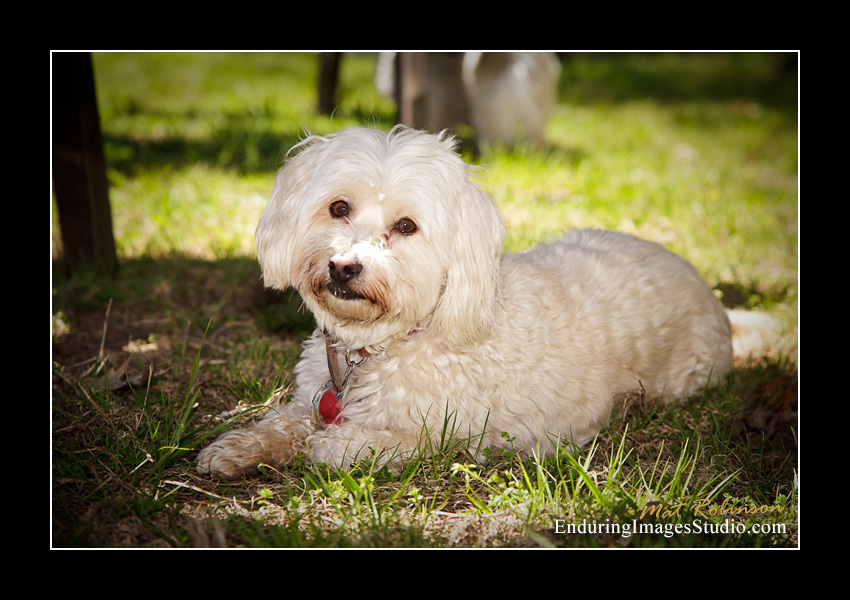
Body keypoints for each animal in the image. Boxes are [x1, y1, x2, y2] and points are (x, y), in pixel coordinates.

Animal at [197, 127, 748, 482]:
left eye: (406, 226)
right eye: (338, 207)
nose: (343, 267)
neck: (381, 346)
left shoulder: (455, 432)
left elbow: (379, 443)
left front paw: (334, 445)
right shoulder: (308, 399)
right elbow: (282, 422)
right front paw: (241, 447)